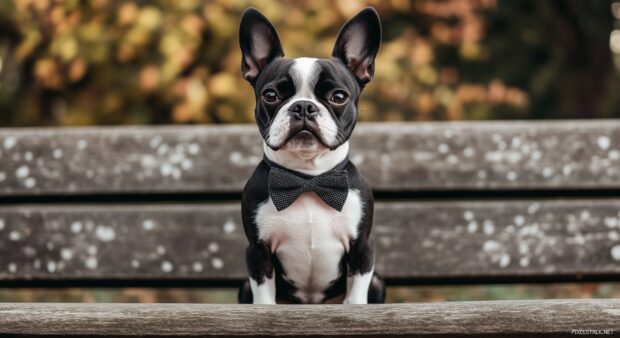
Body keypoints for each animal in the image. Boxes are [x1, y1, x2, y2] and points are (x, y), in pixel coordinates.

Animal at [236, 7, 382, 304]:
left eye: (339, 96)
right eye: (270, 95)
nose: (303, 106)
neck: (308, 178)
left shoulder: (362, 247)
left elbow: (356, 293)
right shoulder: (257, 250)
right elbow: (263, 296)